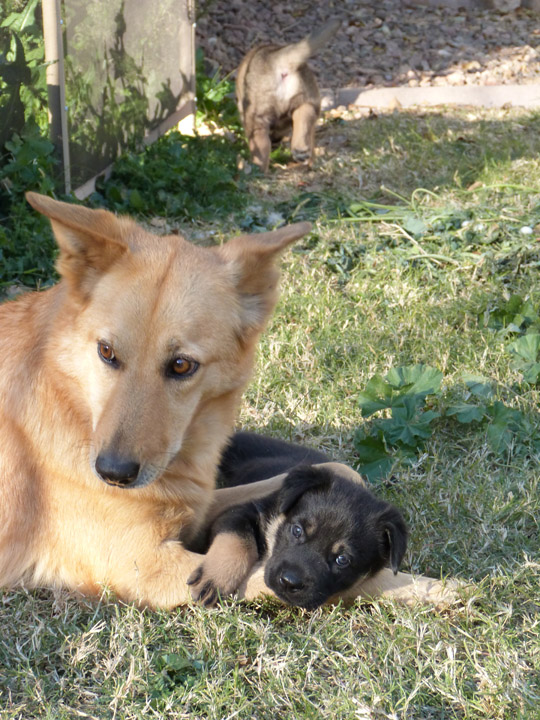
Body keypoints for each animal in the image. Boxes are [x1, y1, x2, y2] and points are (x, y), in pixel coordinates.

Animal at [188, 434, 408, 608]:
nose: (289, 582)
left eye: (342, 559)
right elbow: (238, 539)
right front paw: (214, 579)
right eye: (297, 530)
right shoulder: (242, 511)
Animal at [235, 18, 340, 173]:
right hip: (308, 99)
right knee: (303, 118)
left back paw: (256, 170)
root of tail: (278, 61)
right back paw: (301, 151)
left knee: (261, 144)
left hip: (256, 116)